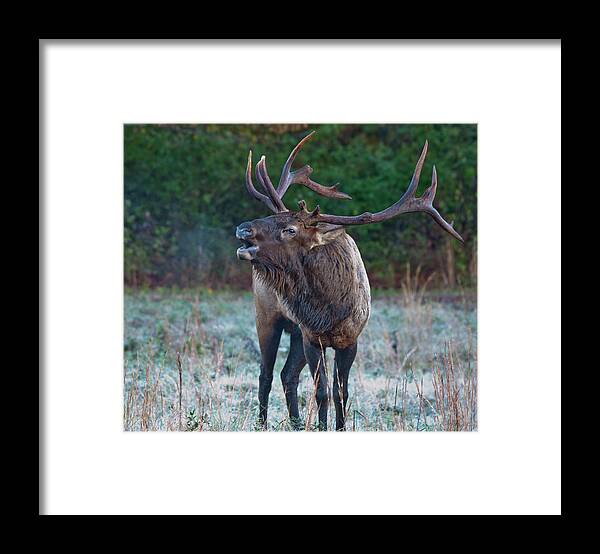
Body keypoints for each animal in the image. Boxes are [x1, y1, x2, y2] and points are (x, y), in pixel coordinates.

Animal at [236, 132, 464, 430]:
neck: (328, 309)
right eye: (273, 216)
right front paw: (322, 426)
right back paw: (262, 424)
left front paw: (339, 426)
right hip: (266, 315)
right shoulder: (313, 338)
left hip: (294, 330)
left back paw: (295, 424)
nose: (243, 229)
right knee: (266, 374)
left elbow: (340, 392)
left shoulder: (349, 339)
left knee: (287, 375)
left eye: (290, 229)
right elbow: (322, 392)